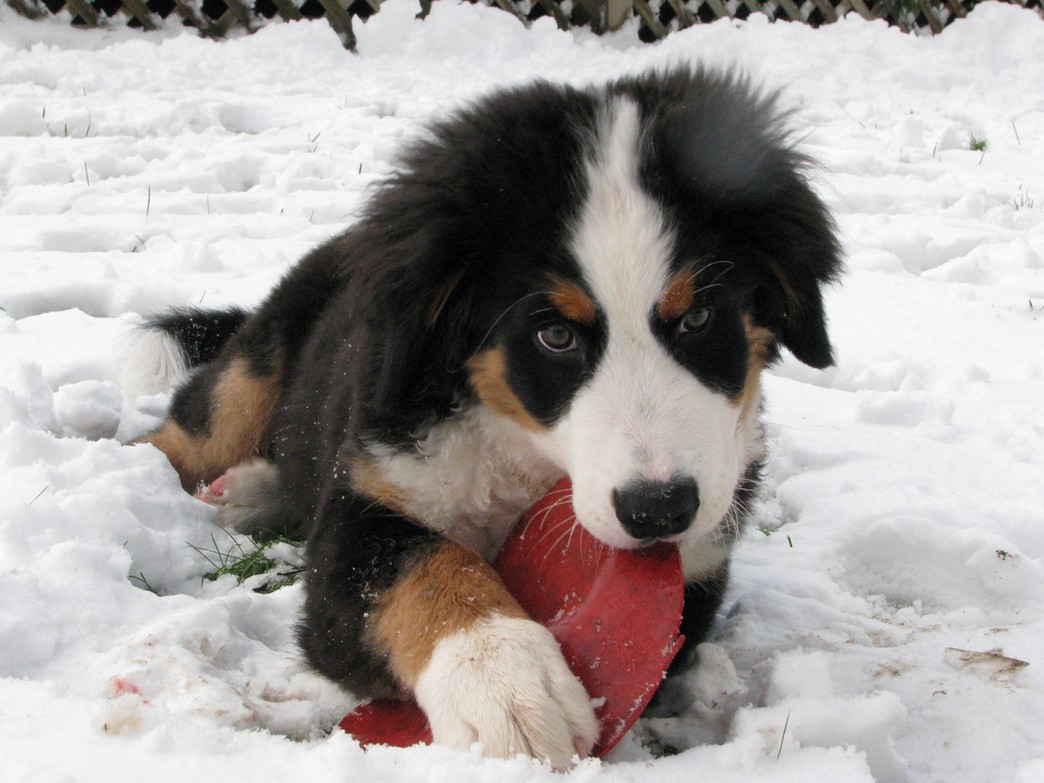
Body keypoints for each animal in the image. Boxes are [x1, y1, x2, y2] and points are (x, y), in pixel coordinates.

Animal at [130, 67, 843, 768]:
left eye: (697, 319)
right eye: (555, 335)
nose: (659, 509)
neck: (523, 451)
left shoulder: (701, 562)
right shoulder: (365, 506)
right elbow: (426, 568)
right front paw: (507, 686)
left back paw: (252, 492)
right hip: (254, 372)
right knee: (184, 432)